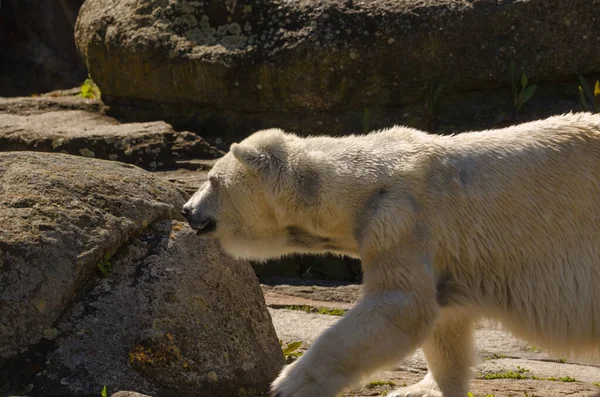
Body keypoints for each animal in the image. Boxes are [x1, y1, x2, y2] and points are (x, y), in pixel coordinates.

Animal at [182, 112, 600, 396]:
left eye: (212, 180)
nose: (186, 211)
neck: (363, 184)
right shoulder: (435, 248)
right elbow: (443, 319)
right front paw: (423, 389)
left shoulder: (400, 220)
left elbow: (399, 307)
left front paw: (289, 383)